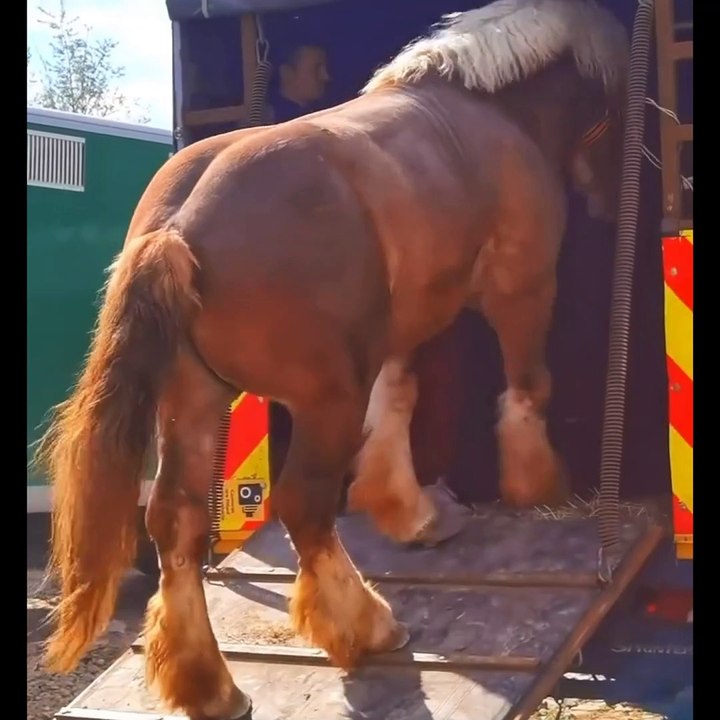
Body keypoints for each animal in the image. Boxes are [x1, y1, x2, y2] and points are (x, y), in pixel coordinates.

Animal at [35, 0, 629, 717]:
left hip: (193, 399)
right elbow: (526, 388)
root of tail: (178, 231)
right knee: (305, 508)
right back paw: (366, 626)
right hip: (323, 401)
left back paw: (210, 685)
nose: (610, 200)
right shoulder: (523, 286)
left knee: (175, 522)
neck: (489, 111)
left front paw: (410, 512)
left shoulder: (401, 327)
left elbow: (397, 403)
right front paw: (537, 487)